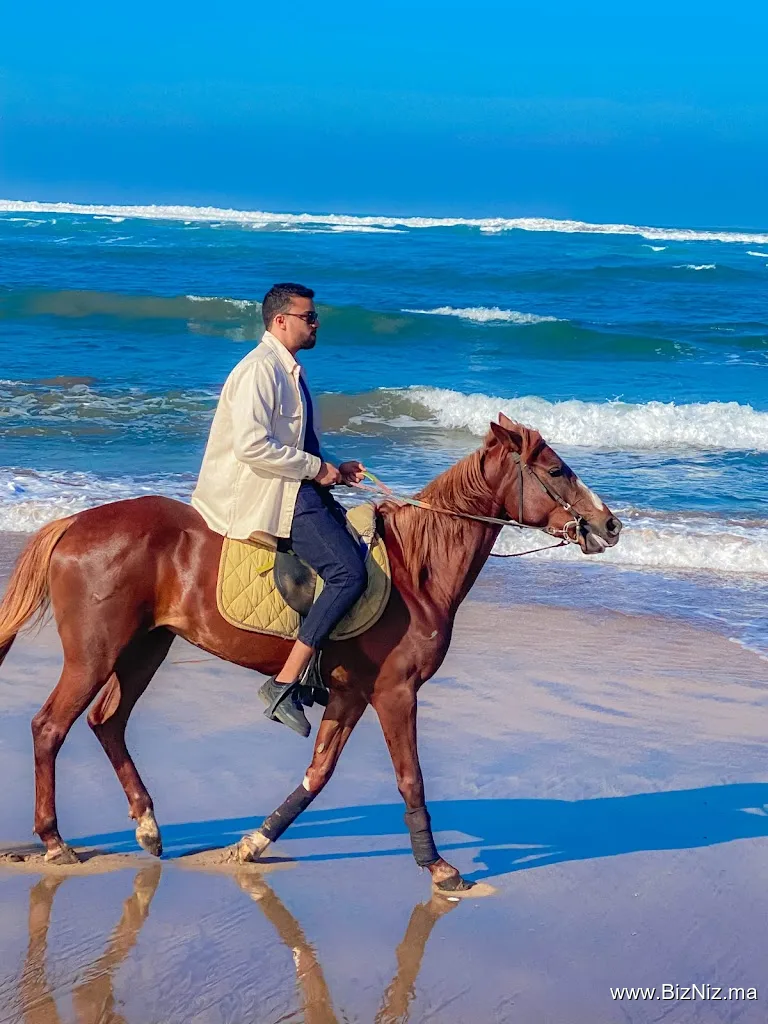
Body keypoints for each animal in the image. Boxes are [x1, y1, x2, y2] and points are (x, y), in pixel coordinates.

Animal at [0, 413, 621, 891]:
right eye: (556, 470)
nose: (610, 524)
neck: (417, 568)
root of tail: (74, 522)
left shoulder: (351, 695)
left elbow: (318, 774)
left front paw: (253, 843)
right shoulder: (395, 692)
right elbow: (411, 778)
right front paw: (439, 866)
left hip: (144, 648)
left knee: (108, 721)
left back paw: (147, 827)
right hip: (95, 653)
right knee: (50, 727)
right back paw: (54, 841)